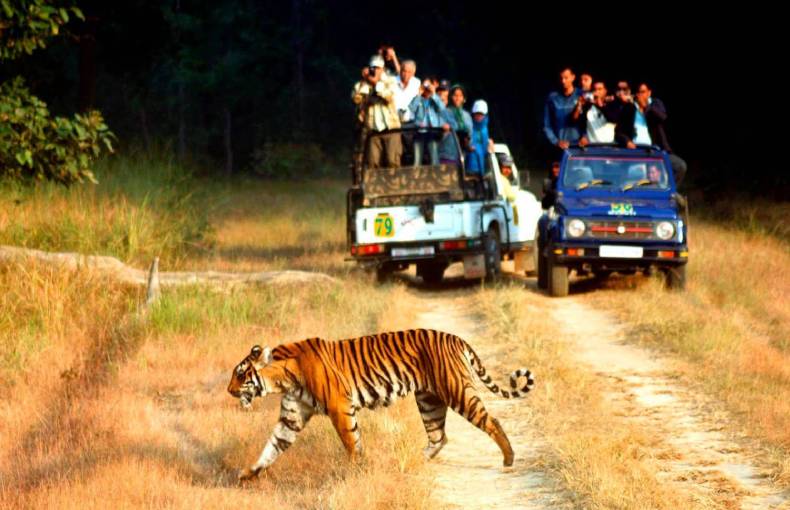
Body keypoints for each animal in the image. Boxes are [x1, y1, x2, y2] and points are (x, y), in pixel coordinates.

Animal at [229, 328, 540, 480]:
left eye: (240, 374)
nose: (229, 390)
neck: (283, 378)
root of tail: (457, 338)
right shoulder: (291, 417)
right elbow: (272, 447)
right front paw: (248, 475)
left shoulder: (339, 408)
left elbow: (352, 442)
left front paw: (356, 471)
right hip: (429, 400)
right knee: (439, 436)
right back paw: (411, 462)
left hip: (458, 392)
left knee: (491, 421)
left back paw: (509, 458)